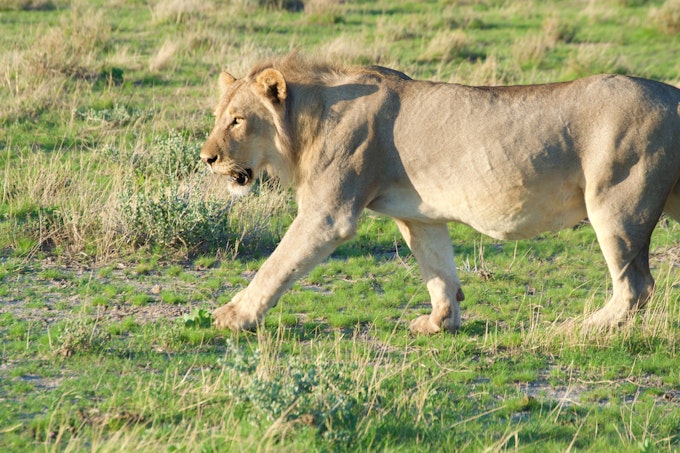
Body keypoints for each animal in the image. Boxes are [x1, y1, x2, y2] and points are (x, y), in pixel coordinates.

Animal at [200, 53, 680, 334]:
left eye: (238, 120)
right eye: (219, 116)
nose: (206, 158)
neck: (307, 122)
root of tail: (673, 94)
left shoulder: (328, 213)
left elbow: (276, 265)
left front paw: (234, 315)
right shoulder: (420, 217)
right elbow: (438, 270)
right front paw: (439, 322)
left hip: (617, 205)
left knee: (635, 286)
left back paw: (578, 328)